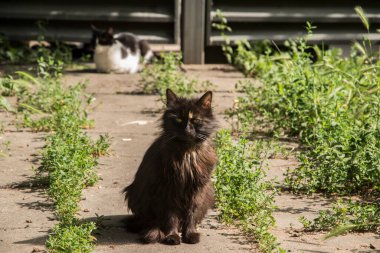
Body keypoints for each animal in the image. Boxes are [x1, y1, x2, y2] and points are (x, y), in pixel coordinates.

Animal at [124, 89, 217, 245]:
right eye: (178, 120)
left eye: (195, 120)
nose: (187, 130)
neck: (187, 153)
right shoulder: (168, 189)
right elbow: (171, 216)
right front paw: (172, 236)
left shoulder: (197, 188)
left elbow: (192, 214)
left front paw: (190, 234)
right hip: (137, 195)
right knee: (152, 222)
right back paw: (153, 232)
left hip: (208, 192)